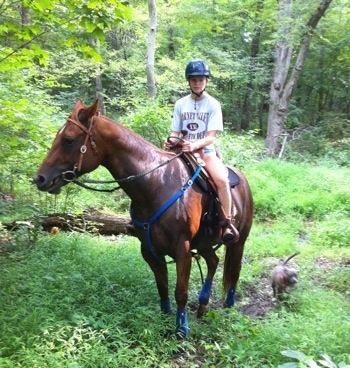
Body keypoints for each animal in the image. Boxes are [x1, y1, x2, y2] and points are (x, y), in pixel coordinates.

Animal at [33, 98, 252, 340]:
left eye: (69, 140)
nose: (40, 178)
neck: (156, 183)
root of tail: (242, 179)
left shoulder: (182, 248)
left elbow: (180, 292)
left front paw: (181, 331)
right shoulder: (149, 249)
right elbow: (162, 288)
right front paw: (165, 322)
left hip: (238, 241)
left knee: (234, 270)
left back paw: (229, 306)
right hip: (204, 242)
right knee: (213, 262)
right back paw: (203, 305)